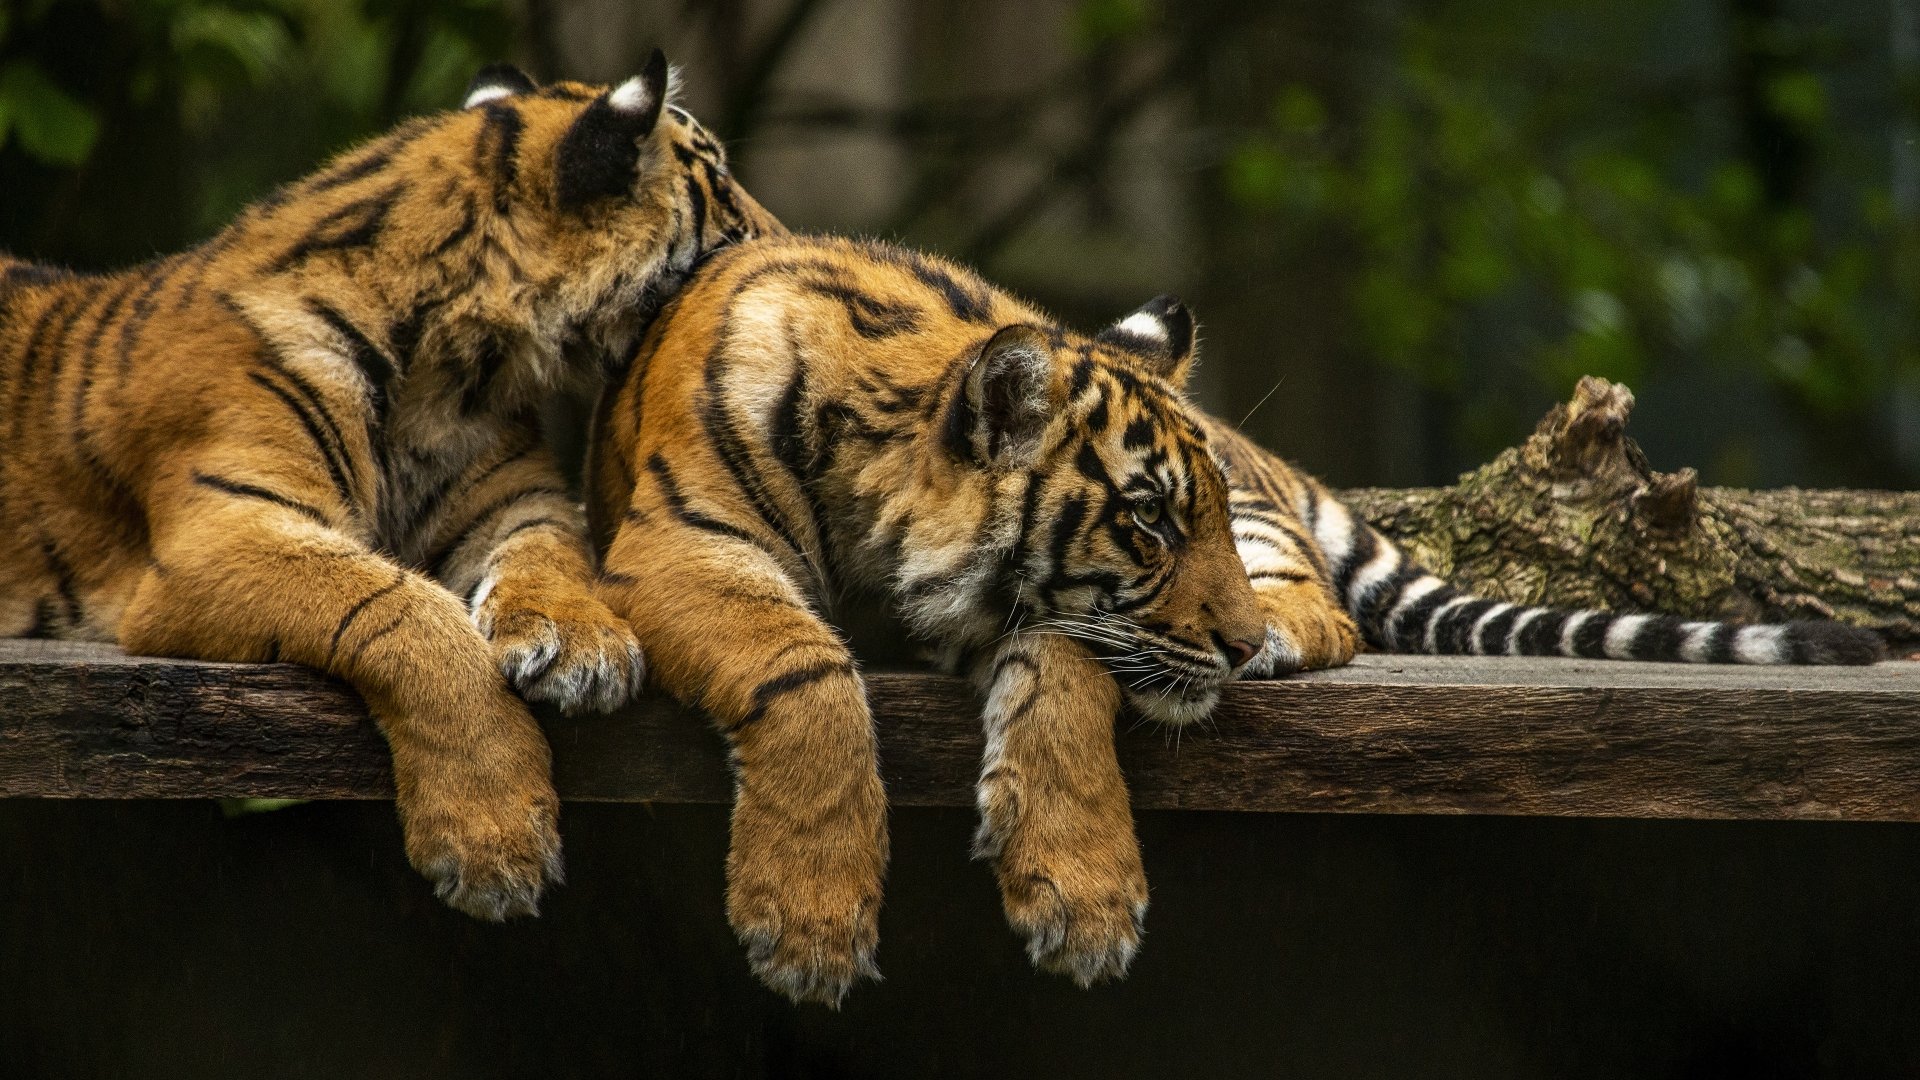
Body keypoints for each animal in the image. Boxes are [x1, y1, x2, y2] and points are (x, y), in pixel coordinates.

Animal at [0, 52, 779, 920]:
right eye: (720, 181)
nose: (786, 239)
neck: (453, 368)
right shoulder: (229, 529)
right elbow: (402, 611)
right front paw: (493, 841)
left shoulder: (517, 503)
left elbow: (551, 560)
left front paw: (582, 643)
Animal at [585, 233, 1884, 1006]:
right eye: (1150, 522)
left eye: (1186, 518)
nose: (1234, 641)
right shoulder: (680, 546)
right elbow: (805, 674)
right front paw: (807, 920)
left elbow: (1064, 670)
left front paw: (1083, 895)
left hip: (1272, 520)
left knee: (1327, 598)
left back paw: (1290, 634)